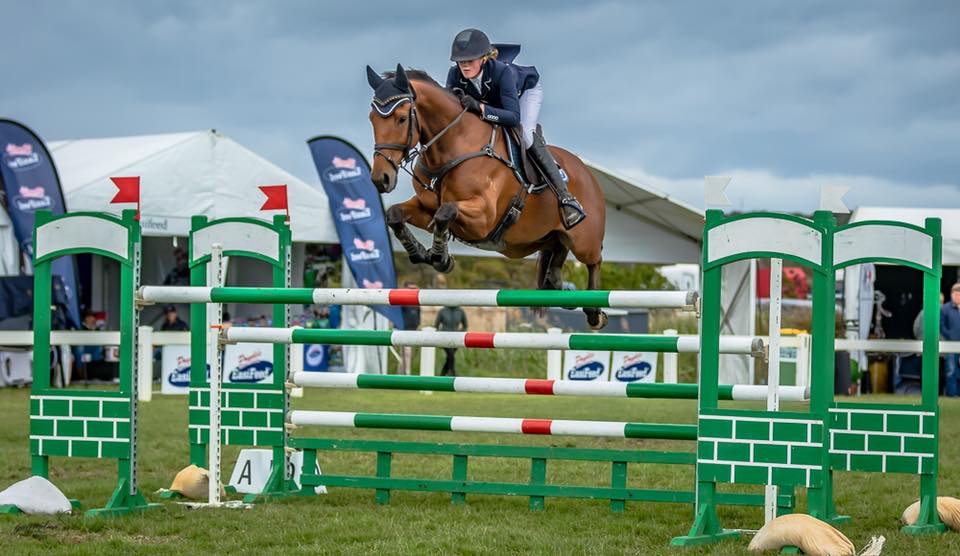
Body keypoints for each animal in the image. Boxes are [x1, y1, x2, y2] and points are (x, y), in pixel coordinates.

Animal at [366, 64, 608, 329]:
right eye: (372, 119)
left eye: (401, 118)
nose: (381, 179)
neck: (453, 146)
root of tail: (588, 173)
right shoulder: (424, 207)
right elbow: (395, 214)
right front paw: (420, 252)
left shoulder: (482, 219)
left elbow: (445, 212)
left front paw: (440, 258)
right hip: (547, 236)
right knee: (557, 255)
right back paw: (564, 291)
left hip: (584, 241)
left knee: (594, 260)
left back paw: (594, 312)